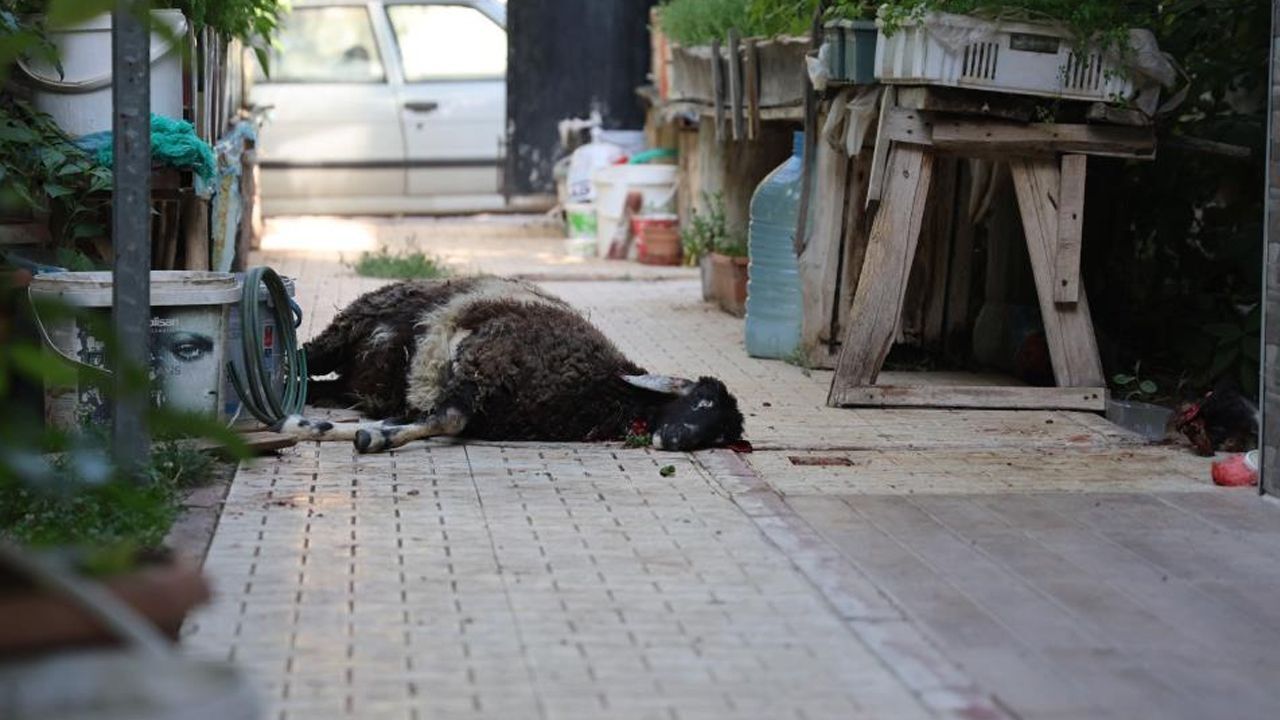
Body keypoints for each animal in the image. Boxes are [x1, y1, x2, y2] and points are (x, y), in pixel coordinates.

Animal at [275, 275, 747, 450]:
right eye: (701, 401)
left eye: (722, 435)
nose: (674, 441)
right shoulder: (486, 358)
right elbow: (449, 419)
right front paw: (366, 436)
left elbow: (442, 418)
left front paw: (374, 430)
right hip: (349, 326)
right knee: (303, 355)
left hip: (359, 380)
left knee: (317, 383)